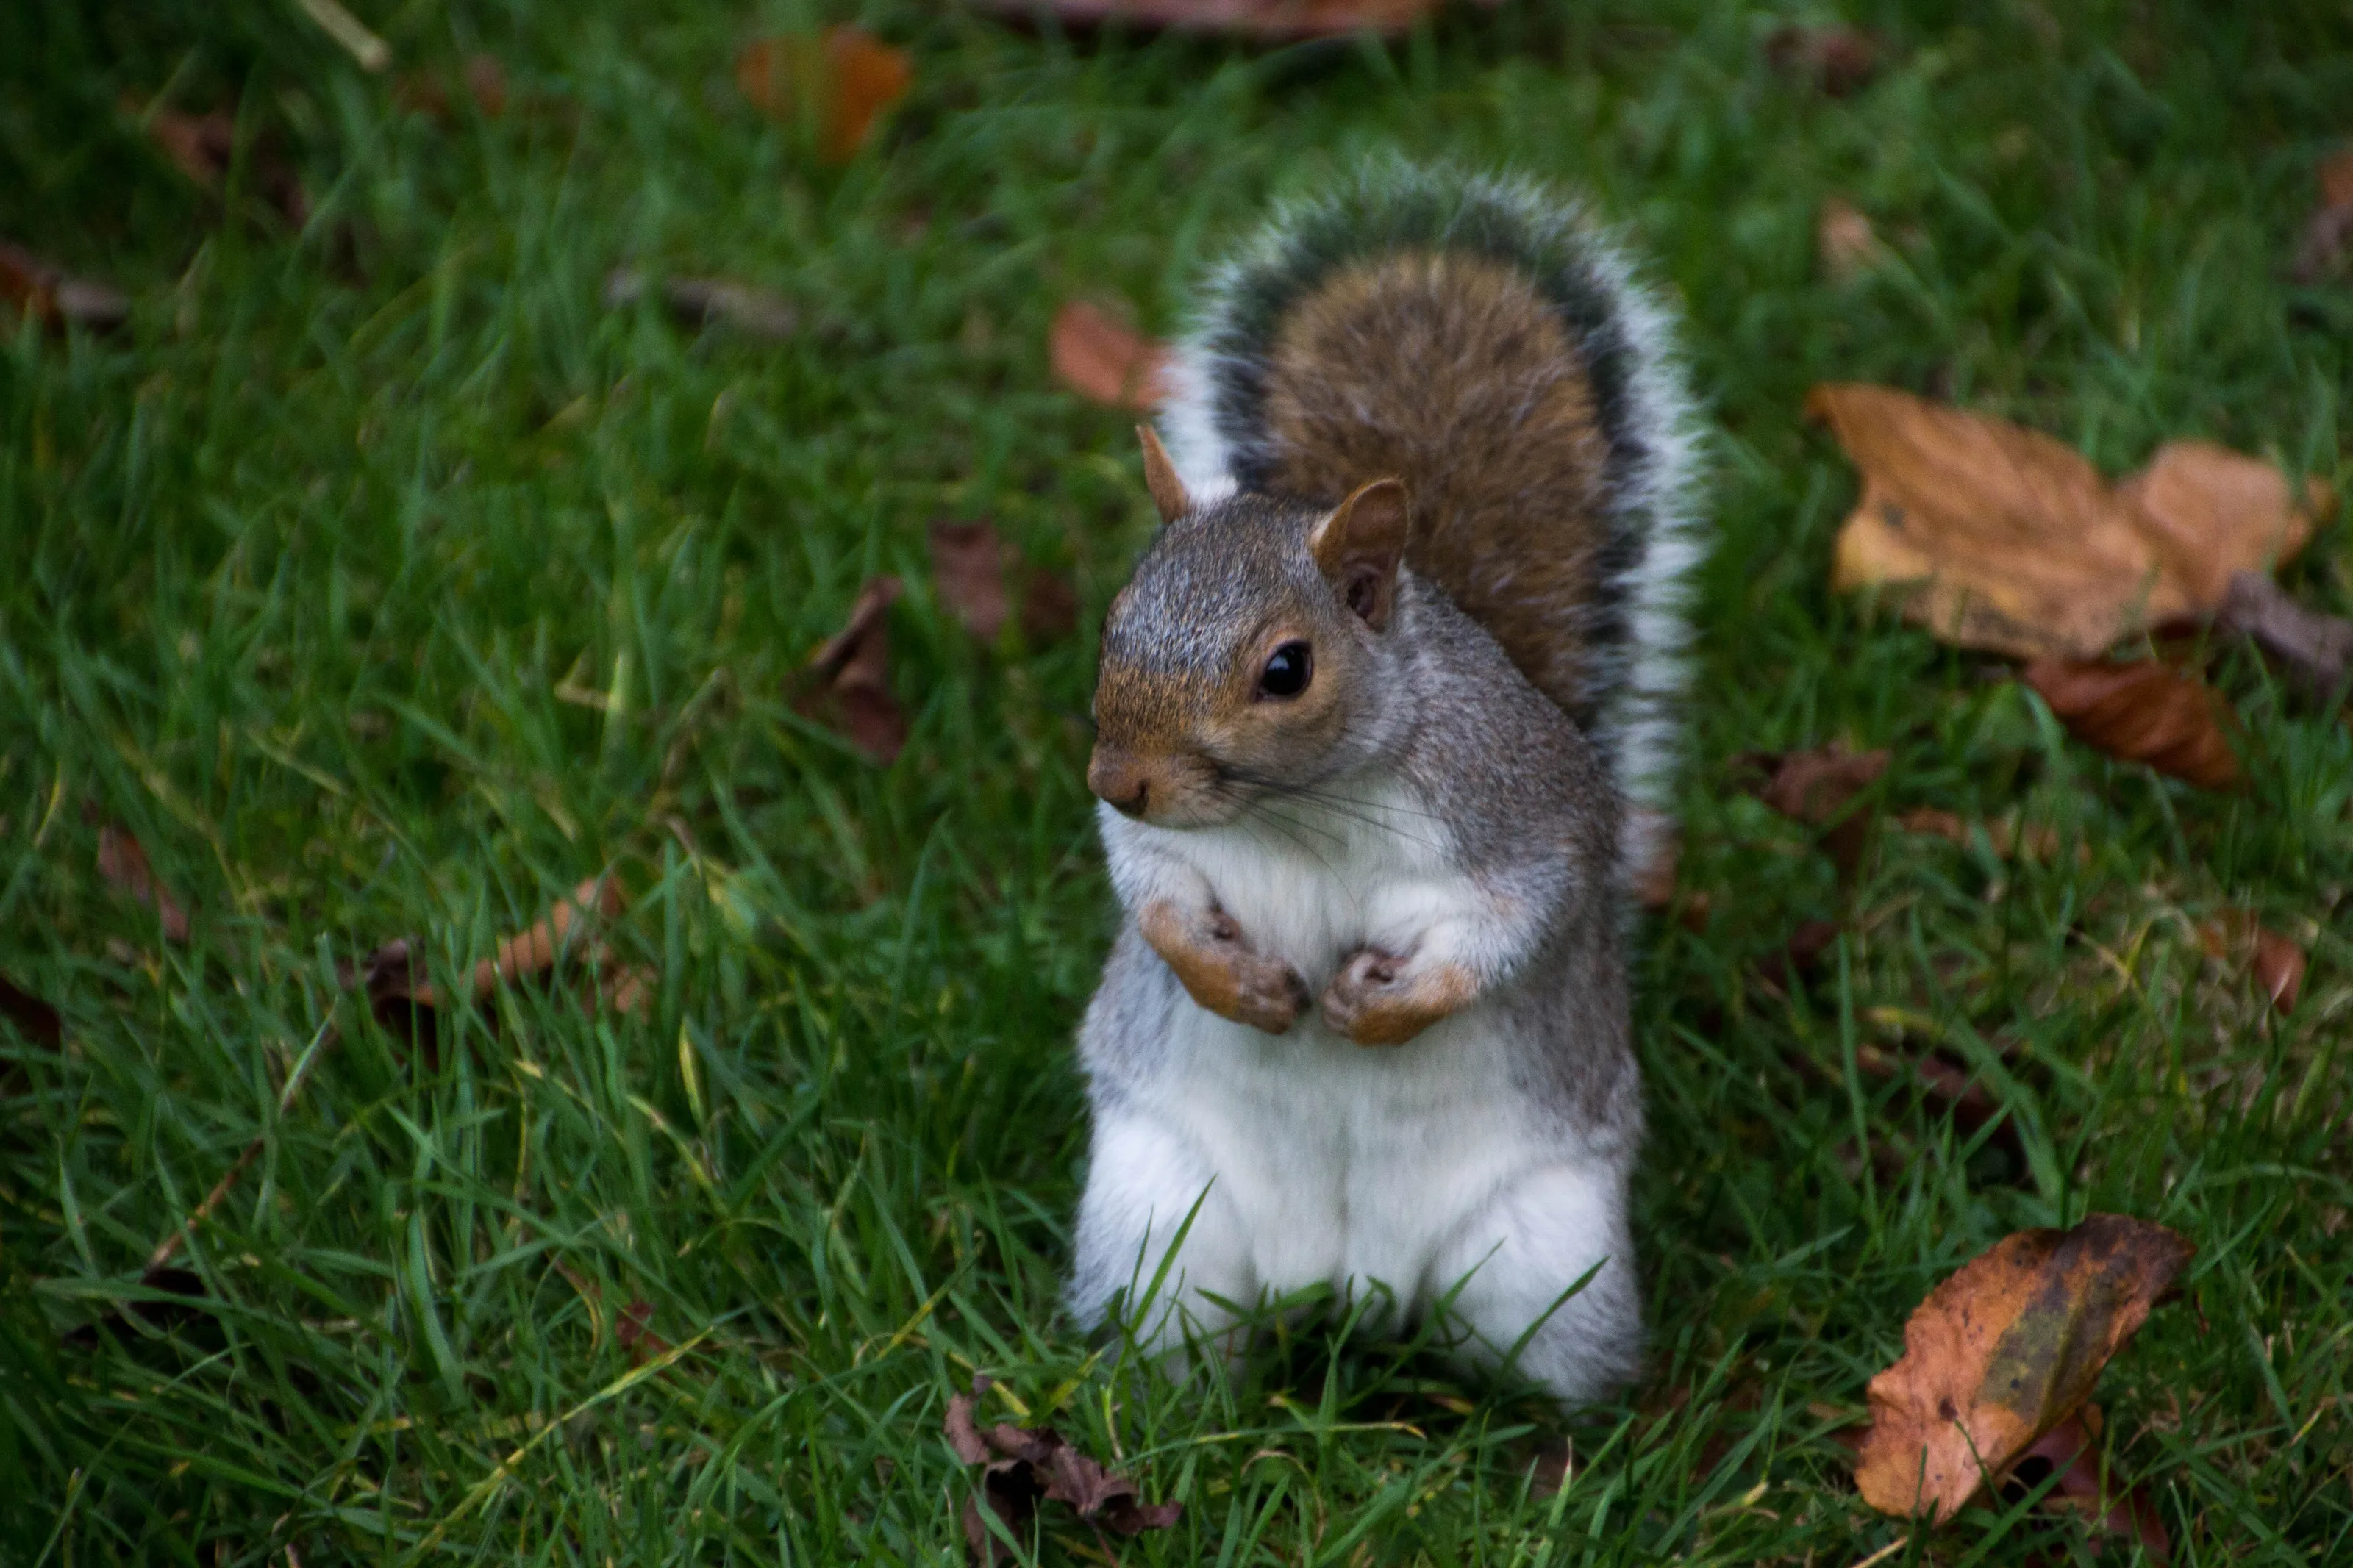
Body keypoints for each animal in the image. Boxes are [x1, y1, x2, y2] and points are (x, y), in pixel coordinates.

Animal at [1066, 162, 1703, 1408]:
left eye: (1286, 669)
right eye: (1116, 620)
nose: (1118, 780)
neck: (1304, 813)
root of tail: (1341, 1281)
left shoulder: (1522, 816)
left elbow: (1513, 926)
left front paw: (1386, 1007)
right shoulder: (1164, 846)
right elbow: (1156, 897)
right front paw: (1238, 987)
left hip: (1547, 1260)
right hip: (1157, 1221)